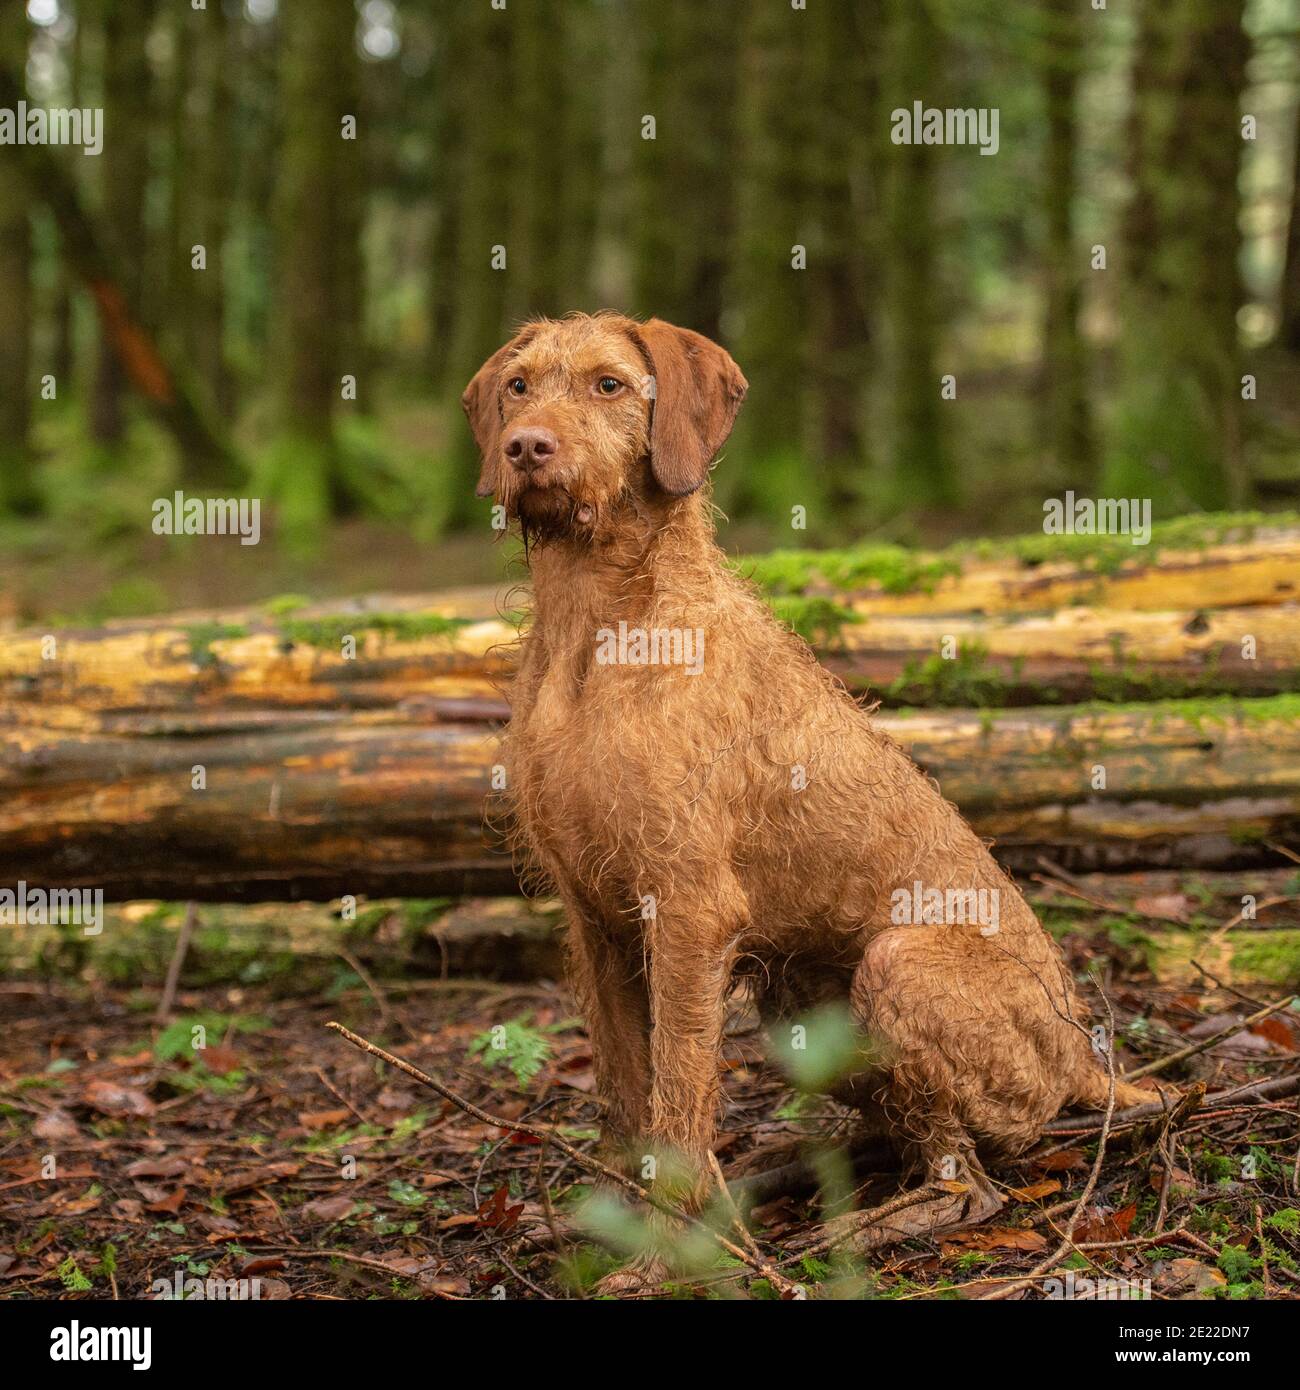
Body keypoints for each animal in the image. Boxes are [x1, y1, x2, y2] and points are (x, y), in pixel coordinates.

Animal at [461, 309, 1145, 1284]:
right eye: (519, 386)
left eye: (608, 385)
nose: (525, 446)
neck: (596, 629)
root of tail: (1082, 1052)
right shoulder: (593, 917)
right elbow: (624, 1095)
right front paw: (602, 1226)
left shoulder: (689, 910)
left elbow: (677, 1100)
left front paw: (662, 1262)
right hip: (797, 1015)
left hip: (898, 965)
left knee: (973, 1183)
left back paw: (861, 1227)